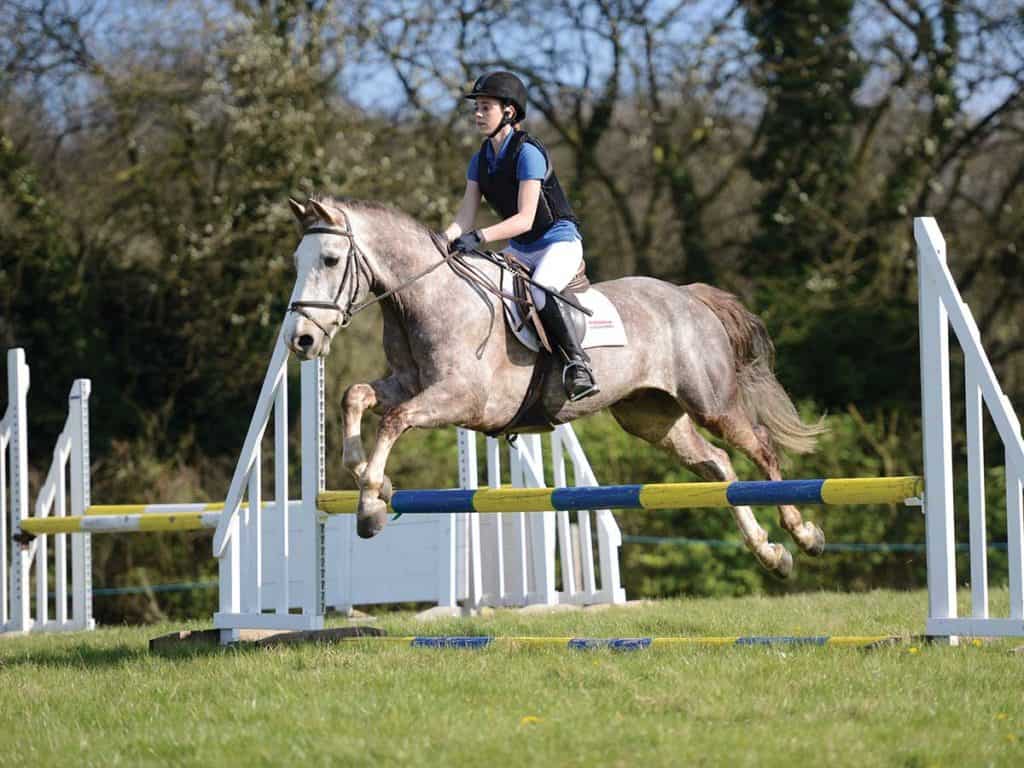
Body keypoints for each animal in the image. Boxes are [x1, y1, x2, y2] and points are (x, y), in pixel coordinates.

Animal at [284, 193, 827, 577]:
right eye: (296, 261)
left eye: (330, 259)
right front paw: (371, 483)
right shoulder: (407, 383)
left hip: (711, 402)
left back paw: (803, 535)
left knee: (760, 448)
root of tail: (687, 296)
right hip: (651, 417)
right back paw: (770, 553)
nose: (302, 339)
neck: (426, 298)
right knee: (717, 466)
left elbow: (395, 419)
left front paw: (370, 505)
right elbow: (355, 396)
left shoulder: (463, 400)